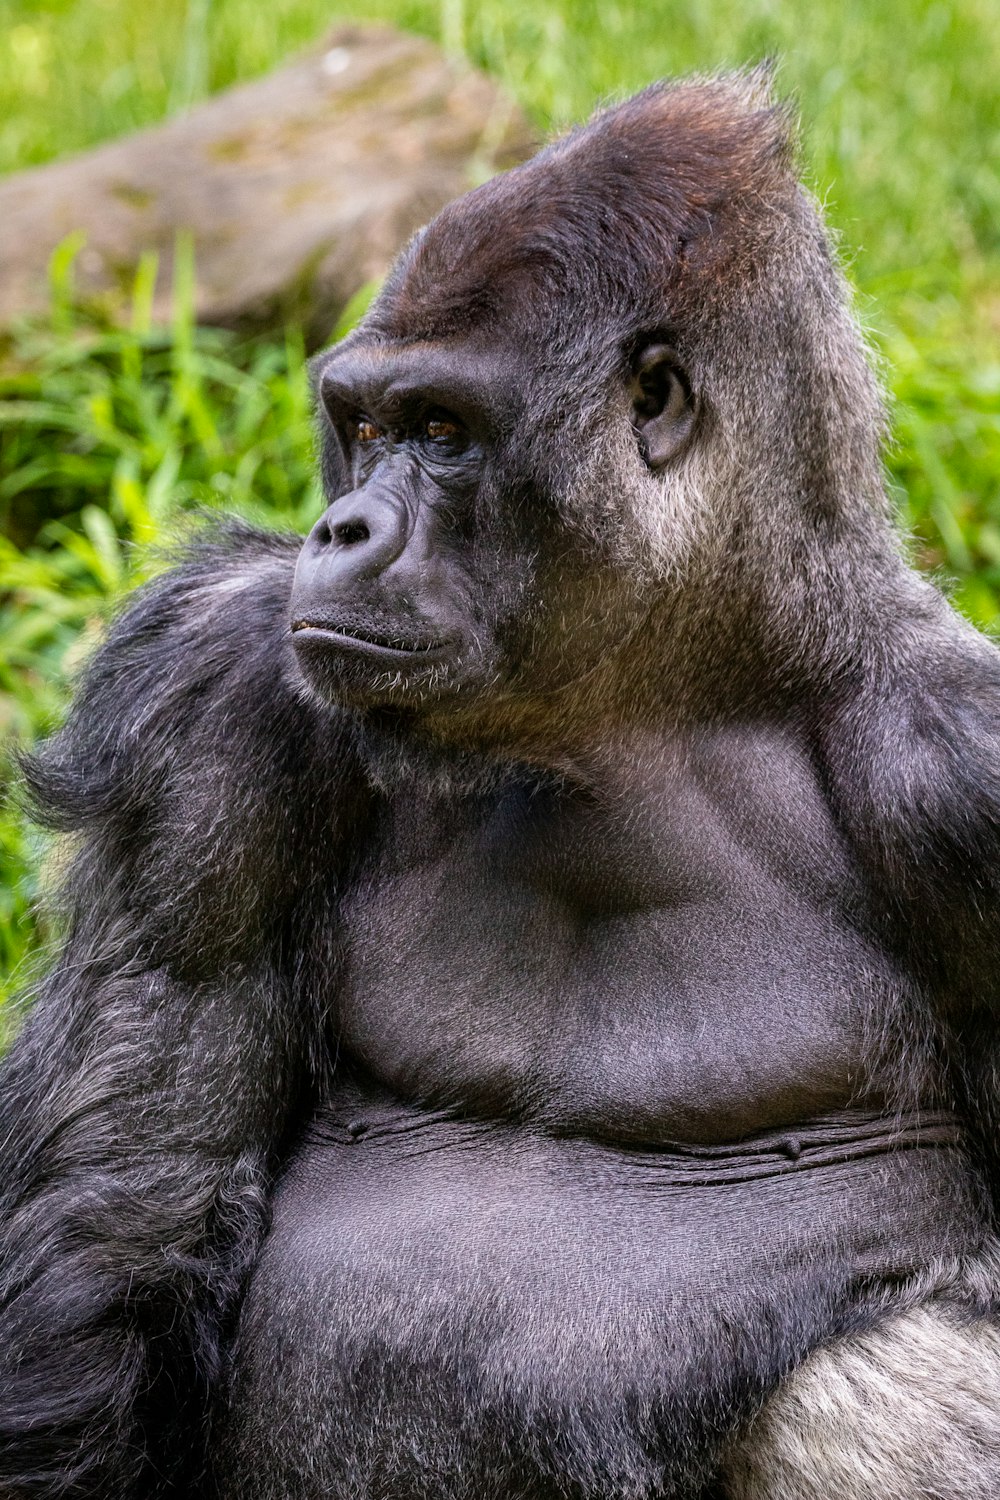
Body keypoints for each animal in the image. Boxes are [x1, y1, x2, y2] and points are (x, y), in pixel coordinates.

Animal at [1, 67, 1000, 1500]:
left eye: (442, 432)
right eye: (363, 428)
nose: (341, 530)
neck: (649, 702)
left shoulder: (962, 767)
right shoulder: (214, 695)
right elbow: (122, 1221)